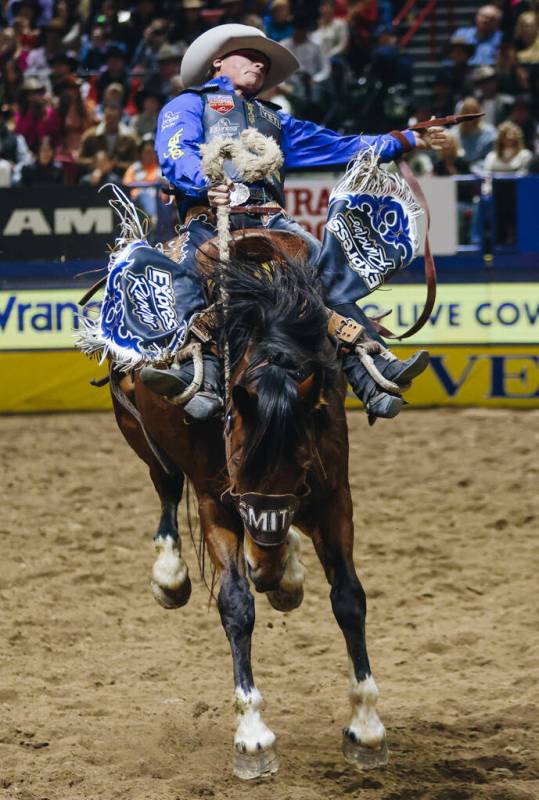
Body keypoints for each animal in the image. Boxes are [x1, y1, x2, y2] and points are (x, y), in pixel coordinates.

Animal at [110, 228, 388, 780]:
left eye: (301, 458)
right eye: (236, 456)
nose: (265, 529)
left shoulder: (332, 497)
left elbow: (349, 598)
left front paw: (365, 725)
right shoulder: (218, 503)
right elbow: (236, 605)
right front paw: (253, 736)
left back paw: (285, 572)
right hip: (141, 435)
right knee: (166, 488)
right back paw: (172, 574)